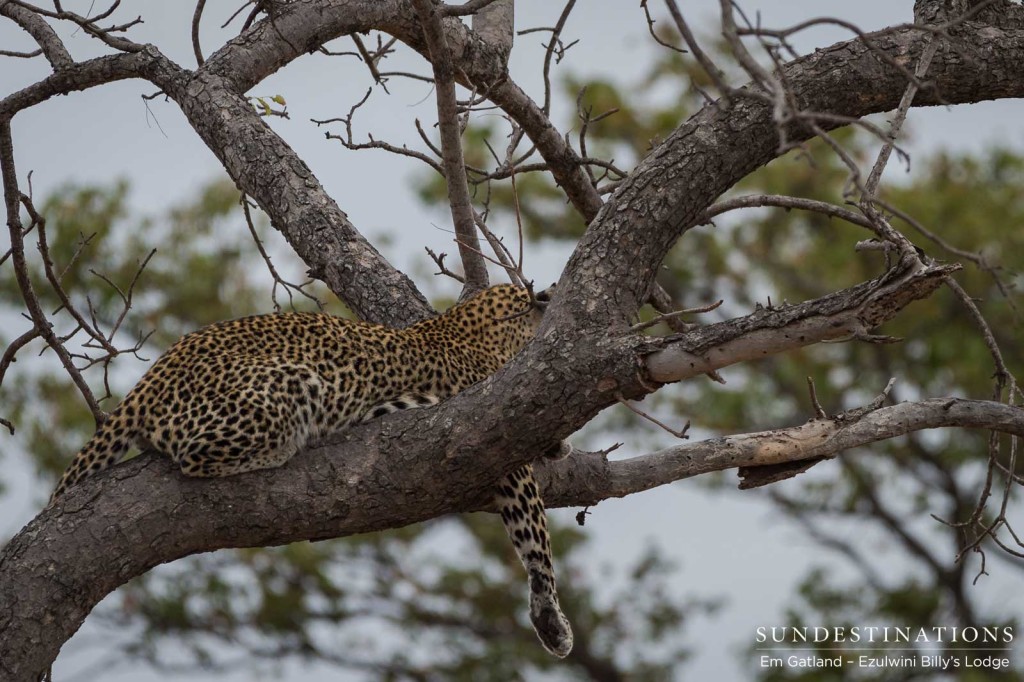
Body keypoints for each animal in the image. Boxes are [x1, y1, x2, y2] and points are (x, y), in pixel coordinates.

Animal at [51, 280, 573, 655]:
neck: (468, 329)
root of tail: (149, 379)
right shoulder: (501, 437)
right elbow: (535, 537)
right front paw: (551, 619)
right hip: (291, 384)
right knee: (194, 457)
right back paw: (296, 443)